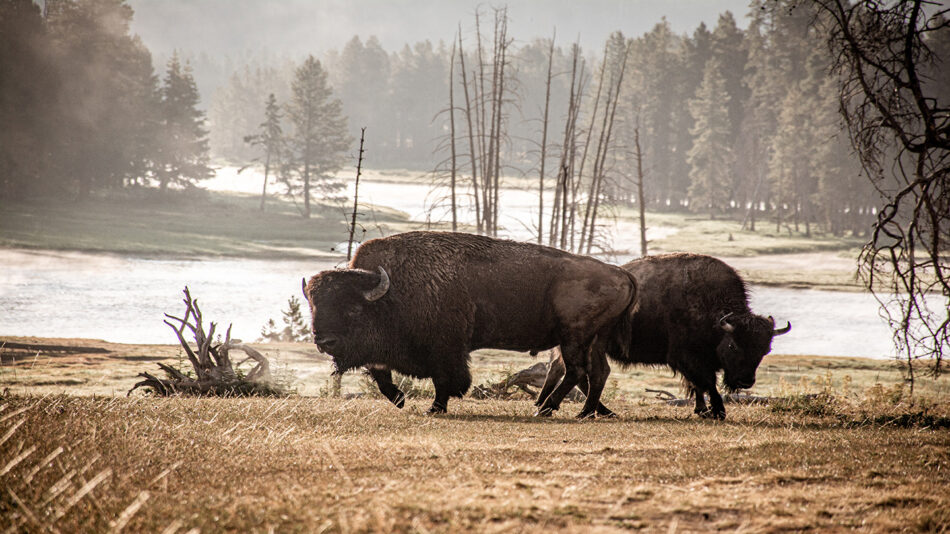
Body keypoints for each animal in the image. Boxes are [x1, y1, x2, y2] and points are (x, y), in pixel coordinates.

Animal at [304, 230, 640, 418]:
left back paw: (546, 409)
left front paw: (435, 408)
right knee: (596, 372)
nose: (324, 341)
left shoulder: (446, 349)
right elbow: (379, 373)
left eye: (353, 309)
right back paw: (588, 412)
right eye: (314, 306)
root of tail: (621, 272)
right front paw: (400, 400)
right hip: (593, 339)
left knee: (577, 371)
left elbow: (445, 379)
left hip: (574, 337)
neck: (390, 291)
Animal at [540, 253, 792, 420]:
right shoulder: (686, 357)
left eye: (765, 350)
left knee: (564, 370)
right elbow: (706, 383)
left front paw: (702, 410)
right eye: (733, 346)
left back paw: (547, 402)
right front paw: (717, 411)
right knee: (577, 373)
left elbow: (698, 385)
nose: (745, 381)